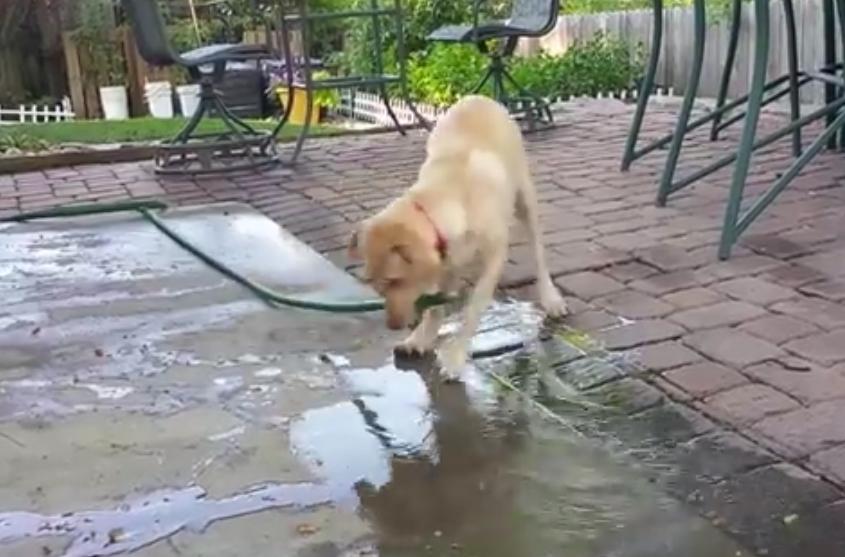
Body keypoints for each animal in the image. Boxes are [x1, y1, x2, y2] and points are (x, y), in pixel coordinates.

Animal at [350, 96, 568, 382]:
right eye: (375, 284)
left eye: (394, 280)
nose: (393, 325)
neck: (445, 199)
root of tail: (479, 98)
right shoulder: (445, 257)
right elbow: (435, 308)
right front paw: (421, 338)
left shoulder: (494, 257)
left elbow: (473, 310)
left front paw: (455, 357)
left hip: (525, 198)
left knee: (538, 251)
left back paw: (550, 297)